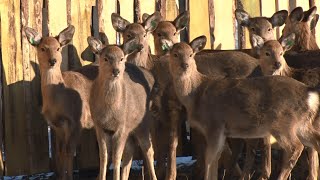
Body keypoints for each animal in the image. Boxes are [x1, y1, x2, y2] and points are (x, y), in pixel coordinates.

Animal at [24, 25, 94, 180]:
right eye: (43, 48)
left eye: (58, 48)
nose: (53, 61)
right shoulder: (56, 126)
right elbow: (59, 153)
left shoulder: (77, 121)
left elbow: (69, 152)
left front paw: (70, 177)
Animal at [87, 36, 158, 180]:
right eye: (105, 58)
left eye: (121, 58)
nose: (116, 71)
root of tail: (150, 74)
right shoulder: (99, 126)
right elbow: (104, 157)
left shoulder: (121, 126)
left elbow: (116, 157)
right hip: (130, 129)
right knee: (129, 152)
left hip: (143, 122)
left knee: (148, 150)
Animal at [166, 34, 320, 180]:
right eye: (175, 54)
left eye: (191, 54)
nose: (185, 65)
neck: (196, 94)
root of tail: (309, 94)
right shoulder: (221, 131)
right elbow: (214, 160)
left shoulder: (214, 125)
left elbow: (209, 160)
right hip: (302, 124)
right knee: (315, 141)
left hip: (283, 123)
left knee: (296, 147)